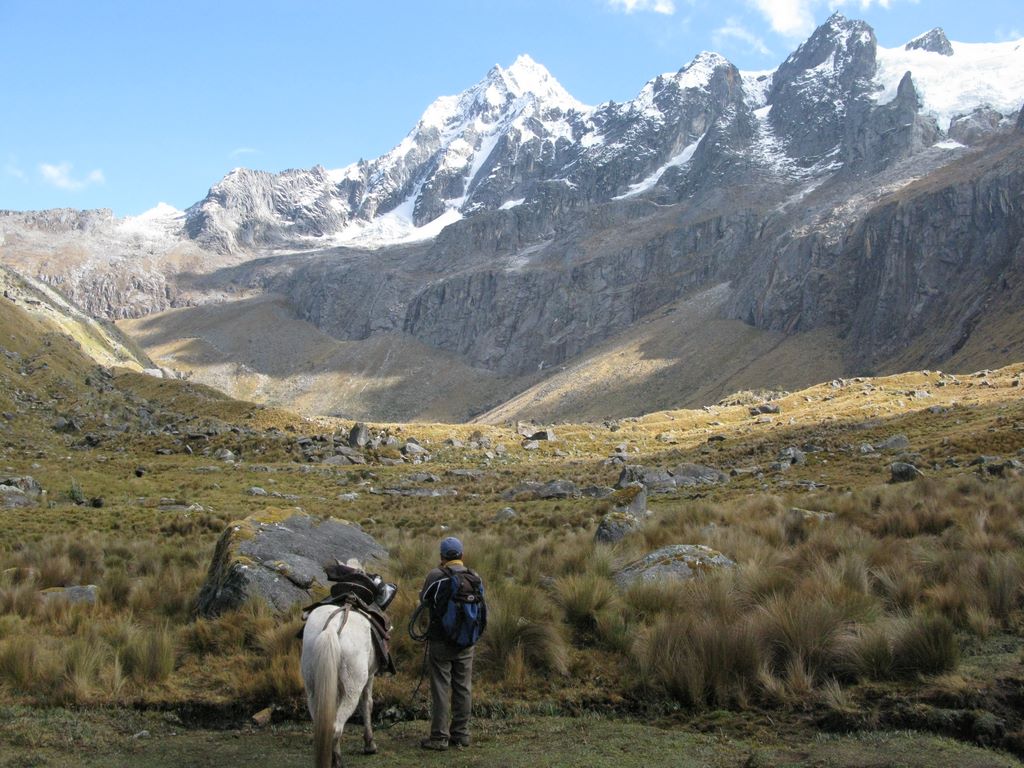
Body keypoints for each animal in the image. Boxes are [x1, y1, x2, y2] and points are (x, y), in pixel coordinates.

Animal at [299, 606, 380, 765]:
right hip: (351, 690)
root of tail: (332, 627)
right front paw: (370, 745)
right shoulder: (370, 676)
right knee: (336, 728)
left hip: (313, 691)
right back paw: (337, 761)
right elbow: (367, 703)